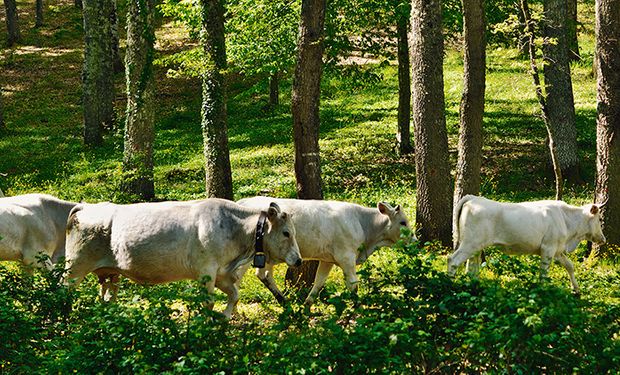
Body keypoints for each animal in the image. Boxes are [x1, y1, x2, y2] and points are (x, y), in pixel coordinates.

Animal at [63, 198, 302, 318]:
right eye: (286, 233)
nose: (299, 260)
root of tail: (85, 206)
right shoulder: (206, 271)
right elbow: (208, 302)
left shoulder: (222, 273)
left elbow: (234, 295)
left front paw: (224, 319)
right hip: (74, 267)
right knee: (62, 291)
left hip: (110, 274)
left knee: (107, 299)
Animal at [237, 197, 412, 306]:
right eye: (403, 222)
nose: (415, 239)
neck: (363, 224)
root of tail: (243, 201)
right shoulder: (346, 257)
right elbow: (353, 285)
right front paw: (358, 308)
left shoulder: (328, 260)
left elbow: (319, 282)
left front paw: (307, 306)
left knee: (258, 275)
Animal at [448, 195, 608, 296]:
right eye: (599, 219)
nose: (603, 239)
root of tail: (474, 198)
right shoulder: (548, 248)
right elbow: (544, 272)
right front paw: (543, 290)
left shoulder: (557, 249)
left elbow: (570, 266)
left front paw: (576, 289)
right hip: (470, 243)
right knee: (453, 260)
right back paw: (448, 285)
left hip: (476, 246)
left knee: (471, 267)